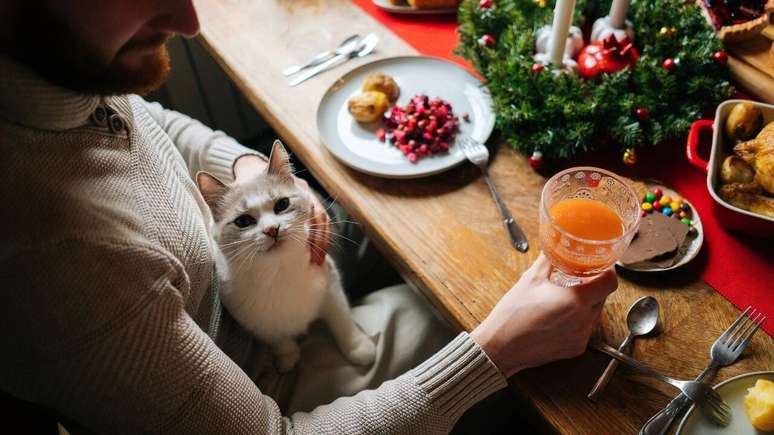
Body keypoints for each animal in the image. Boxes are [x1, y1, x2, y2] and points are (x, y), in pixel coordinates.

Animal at [199, 141, 378, 372]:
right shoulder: (254, 320)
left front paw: (357, 347)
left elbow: (342, 320)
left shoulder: (330, 285)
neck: (278, 271)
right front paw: (287, 356)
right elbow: (277, 337)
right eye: (243, 222)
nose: (272, 229)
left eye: (282, 204)